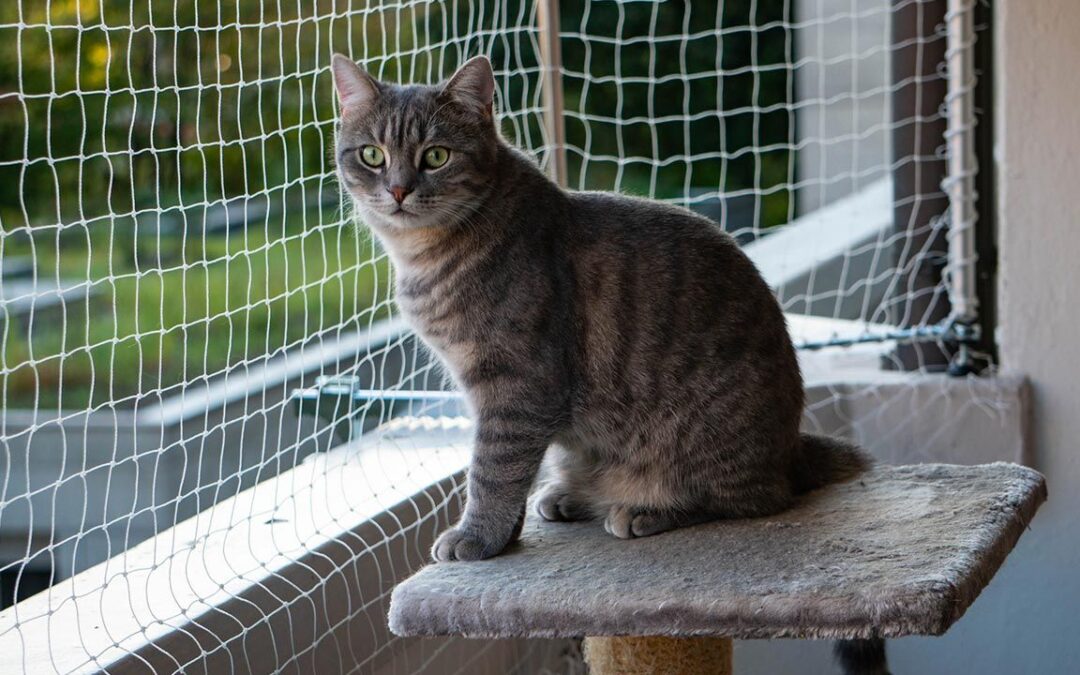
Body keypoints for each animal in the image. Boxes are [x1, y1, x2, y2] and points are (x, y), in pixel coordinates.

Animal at [334, 54, 885, 673]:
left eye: (436, 155)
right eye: (372, 155)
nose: (398, 189)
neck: (427, 255)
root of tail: (792, 445)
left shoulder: (517, 388)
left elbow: (492, 471)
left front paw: (479, 536)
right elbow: (503, 470)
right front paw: (507, 532)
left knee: (757, 497)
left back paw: (645, 510)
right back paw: (571, 495)